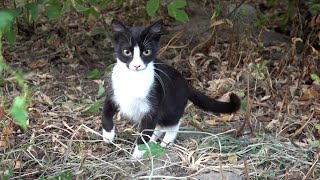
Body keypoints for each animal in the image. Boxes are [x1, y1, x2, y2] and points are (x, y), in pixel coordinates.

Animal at [102, 19, 240, 158]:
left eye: (146, 52)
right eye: (127, 52)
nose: (136, 65)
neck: (133, 79)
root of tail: (185, 82)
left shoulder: (153, 105)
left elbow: (145, 133)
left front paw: (137, 154)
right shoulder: (113, 93)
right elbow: (105, 113)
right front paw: (108, 136)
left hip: (172, 105)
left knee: (173, 123)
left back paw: (166, 141)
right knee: (159, 125)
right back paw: (153, 141)